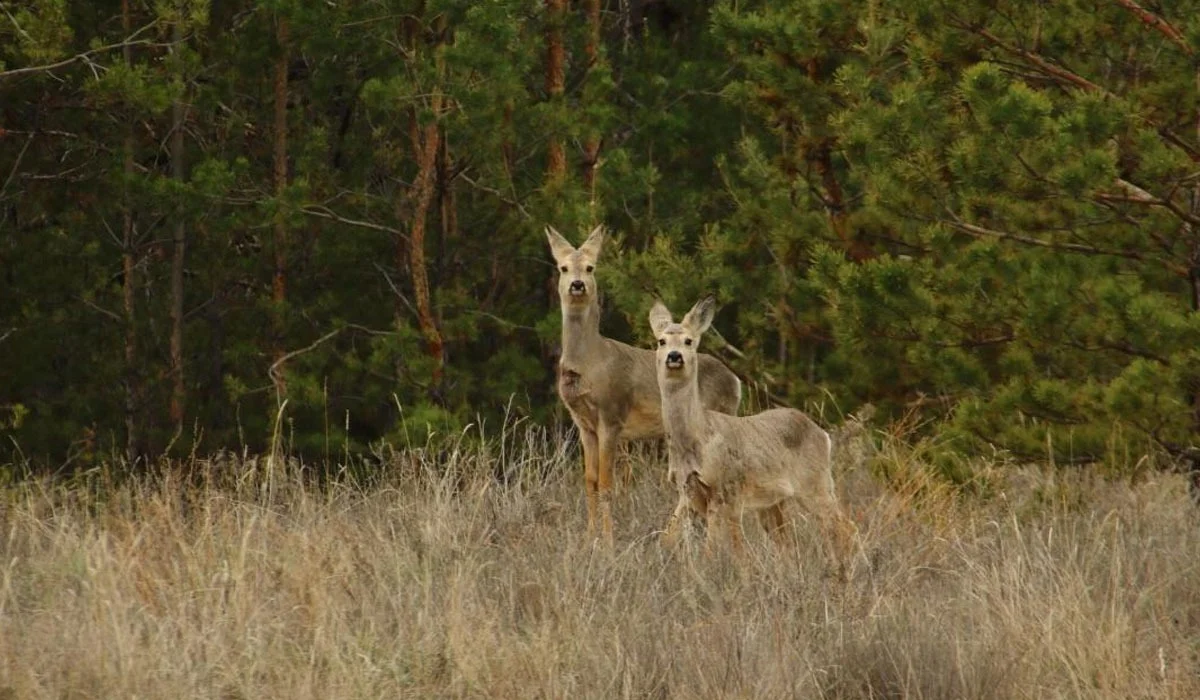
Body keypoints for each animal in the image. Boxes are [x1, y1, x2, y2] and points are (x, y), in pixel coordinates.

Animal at [547, 225, 739, 547]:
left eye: (590, 267)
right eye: (563, 267)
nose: (577, 284)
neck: (590, 361)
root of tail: (736, 382)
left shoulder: (611, 415)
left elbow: (607, 483)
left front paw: (608, 543)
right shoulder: (583, 423)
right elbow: (590, 481)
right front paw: (588, 539)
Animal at [652, 294, 859, 569]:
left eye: (688, 340)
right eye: (661, 341)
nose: (674, 356)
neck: (696, 438)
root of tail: (822, 434)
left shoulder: (724, 489)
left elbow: (714, 549)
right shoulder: (687, 491)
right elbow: (667, 538)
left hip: (815, 483)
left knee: (845, 526)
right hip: (774, 502)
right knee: (788, 544)